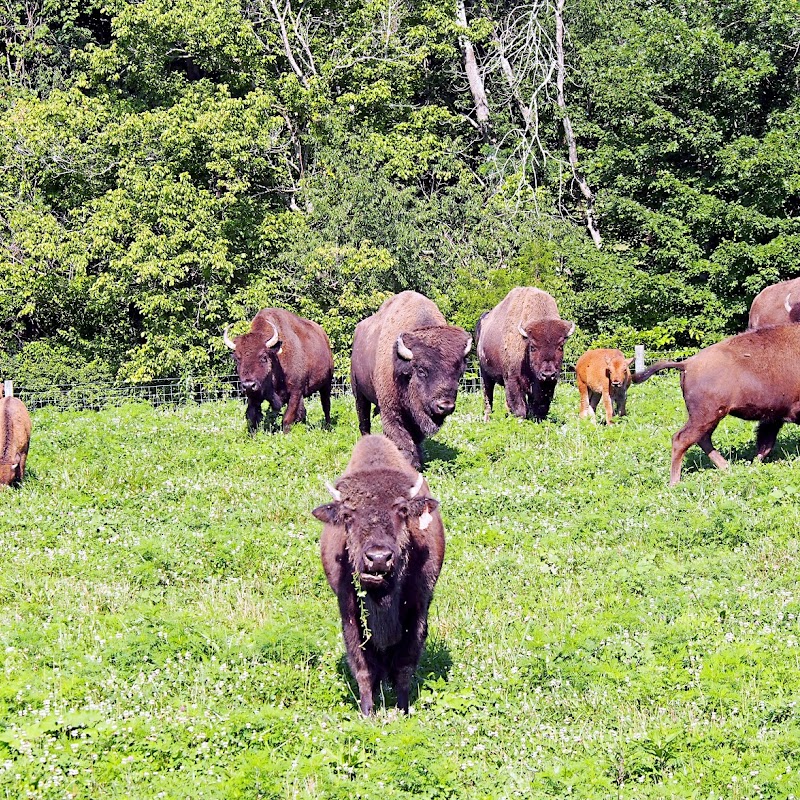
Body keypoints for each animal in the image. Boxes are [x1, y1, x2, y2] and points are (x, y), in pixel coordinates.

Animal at [312, 434, 446, 716]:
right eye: (348, 514)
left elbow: (405, 665)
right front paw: (367, 713)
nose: (378, 558)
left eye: (402, 510)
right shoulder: (350, 614)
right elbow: (363, 667)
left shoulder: (417, 611)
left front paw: (403, 710)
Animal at [350, 292, 468, 468]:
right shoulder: (391, 412)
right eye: (421, 370)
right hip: (359, 394)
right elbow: (402, 439)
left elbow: (416, 438)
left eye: (459, 373)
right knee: (364, 420)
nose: (445, 406)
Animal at [476, 290, 576, 424]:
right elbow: (519, 407)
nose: (547, 374)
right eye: (532, 347)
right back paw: (487, 420)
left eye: (561, 346)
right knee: (488, 397)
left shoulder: (549, 384)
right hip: (485, 374)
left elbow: (540, 406)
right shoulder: (512, 380)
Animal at [636, 324, 800, 488]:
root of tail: (687, 363)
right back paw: (675, 483)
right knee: (681, 439)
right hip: (707, 416)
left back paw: (726, 467)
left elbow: (765, 443)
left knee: (702, 438)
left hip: (709, 417)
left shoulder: (773, 417)